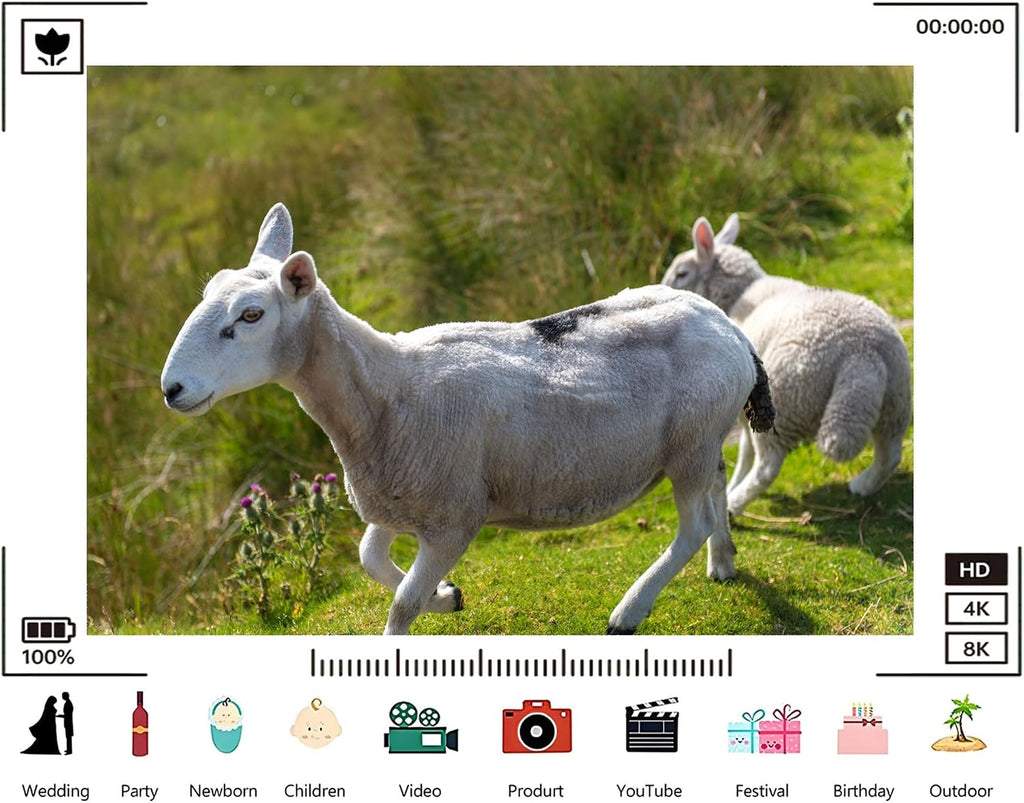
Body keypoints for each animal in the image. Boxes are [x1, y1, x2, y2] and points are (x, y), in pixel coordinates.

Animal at [161, 203, 775, 635]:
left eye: (250, 315)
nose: (172, 389)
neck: (384, 395)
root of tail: (728, 325)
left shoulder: (453, 516)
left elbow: (401, 605)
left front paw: (423, 607)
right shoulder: (400, 495)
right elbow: (369, 558)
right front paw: (449, 596)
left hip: (688, 442)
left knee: (693, 524)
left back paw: (630, 609)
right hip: (704, 435)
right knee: (719, 485)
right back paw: (723, 563)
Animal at [662, 213, 911, 517]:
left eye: (682, 273)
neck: (740, 295)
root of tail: (861, 352)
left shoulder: (748, 403)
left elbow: (745, 453)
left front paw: (733, 485)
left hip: (786, 398)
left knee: (767, 468)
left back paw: (736, 504)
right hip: (895, 400)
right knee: (891, 454)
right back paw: (862, 485)